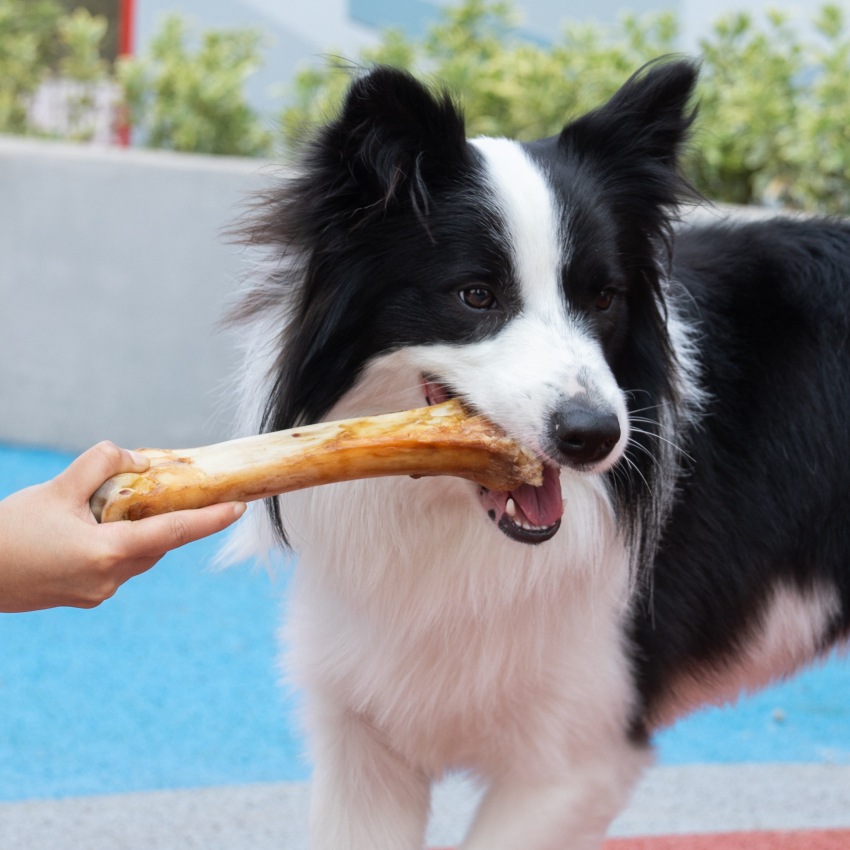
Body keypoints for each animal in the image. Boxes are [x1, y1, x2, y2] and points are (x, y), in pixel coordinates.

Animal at [225, 61, 848, 848]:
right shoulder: (364, 739)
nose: (595, 436)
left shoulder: (580, 754)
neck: (454, 537)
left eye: (605, 297)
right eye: (476, 294)